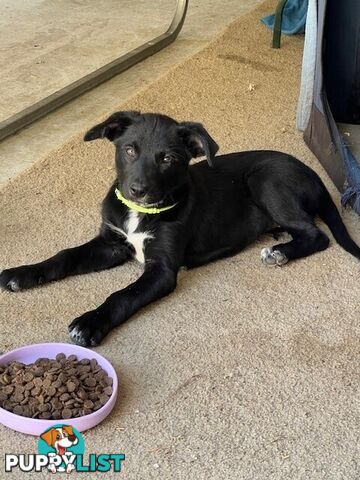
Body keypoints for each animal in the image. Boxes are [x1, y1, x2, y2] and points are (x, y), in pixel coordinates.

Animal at [0, 112, 360, 344]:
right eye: (129, 150)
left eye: (168, 159)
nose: (138, 190)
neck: (141, 213)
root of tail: (313, 173)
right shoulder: (111, 243)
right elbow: (65, 256)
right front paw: (22, 273)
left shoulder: (161, 269)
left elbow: (122, 295)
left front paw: (91, 322)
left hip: (266, 180)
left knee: (317, 235)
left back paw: (279, 252)